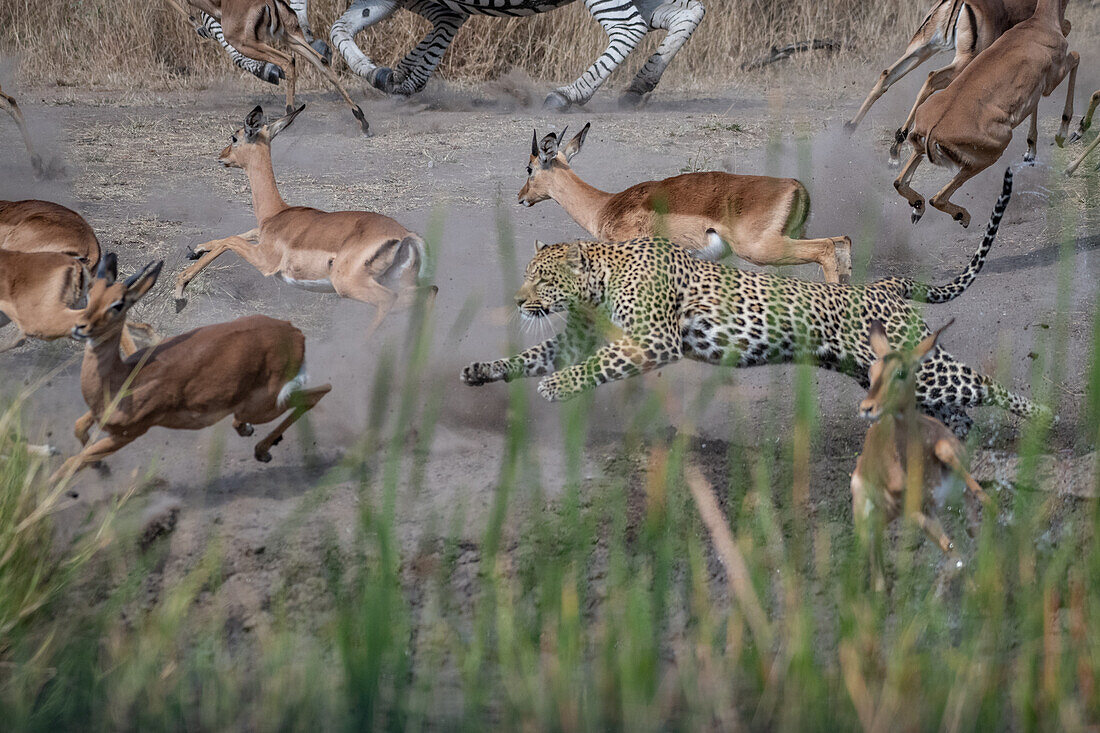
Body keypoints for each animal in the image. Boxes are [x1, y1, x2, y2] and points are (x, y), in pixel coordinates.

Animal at [325, 0, 704, 107]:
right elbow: (339, 28)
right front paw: (388, 73)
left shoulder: (443, 8)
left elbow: (438, 37)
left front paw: (403, 80)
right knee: (688, 12)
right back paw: (641, 84)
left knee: (629, 27)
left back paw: (569, 95)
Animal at [462, 169, 1047, 433]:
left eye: (542, 280)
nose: (517, 300)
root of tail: (884, 287)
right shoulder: (585, 335)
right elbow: (532, 356)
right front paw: (481, 370)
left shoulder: (652, 343)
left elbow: (592, 367)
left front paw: (556, 388)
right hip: (893, 376)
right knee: (959, 412)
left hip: (922, 366)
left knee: (982, 385)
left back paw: (1046, 418)